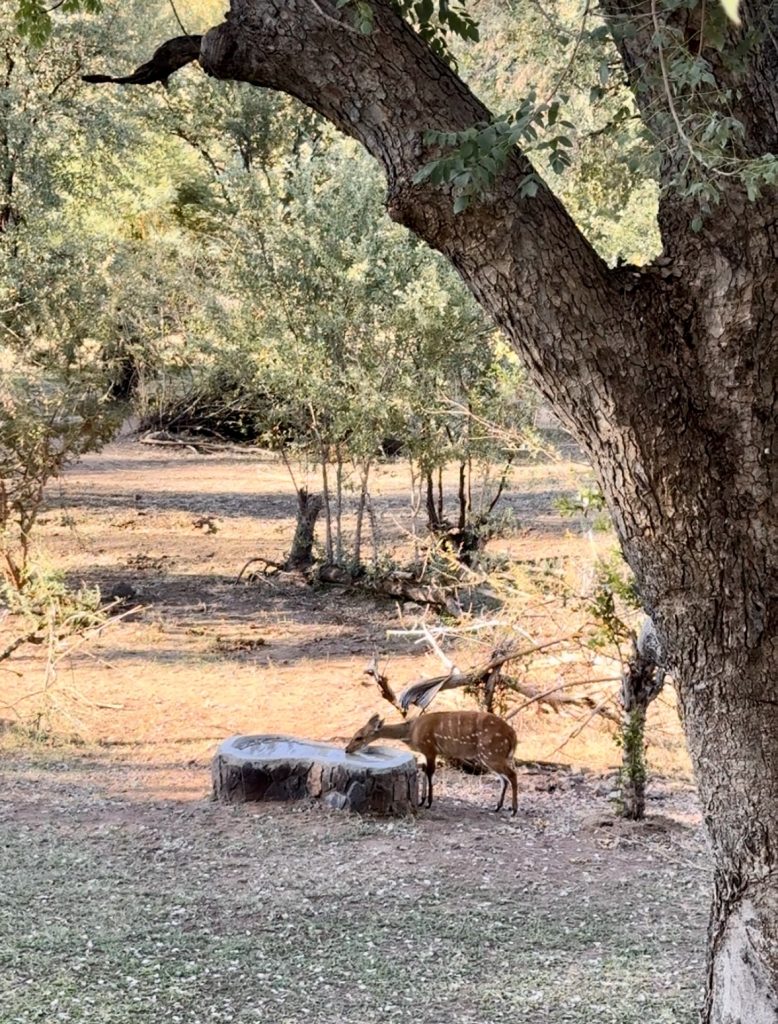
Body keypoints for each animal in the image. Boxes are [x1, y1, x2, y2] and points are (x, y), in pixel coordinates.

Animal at [345, 710, 518, 815]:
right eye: (354, 734)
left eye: (359, 737)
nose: (347, 749)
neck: (411, 732)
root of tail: (513, 735)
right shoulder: (425, 752)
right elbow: (423, 769)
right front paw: (422, 800)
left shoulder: (430, 749)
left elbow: (429, 772)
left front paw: (428, 802)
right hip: (490, 756)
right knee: (503, 778)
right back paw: (497, 806)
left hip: (491, 753)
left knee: (512, 775)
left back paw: (513, 810)